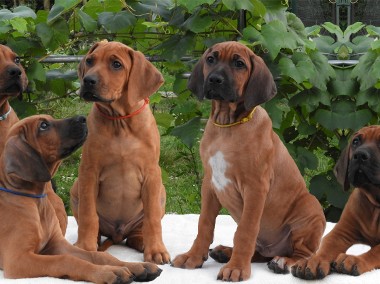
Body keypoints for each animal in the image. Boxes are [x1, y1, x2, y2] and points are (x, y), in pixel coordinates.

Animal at [0, 114, 162, 282]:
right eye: (43, 126)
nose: (82, 118)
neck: (35, 200)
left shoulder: (58, 244)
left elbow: (97, 255)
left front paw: (136, 266)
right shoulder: (18, 259)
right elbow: (66, 260)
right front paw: (107, 272)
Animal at [70, 40, 171, 264]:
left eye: (116, 64)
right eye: (90, 61)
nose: (88, 81)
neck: (119, 121)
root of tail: (117, 234)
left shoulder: (152, 174)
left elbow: (153, 219)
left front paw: (156, 250)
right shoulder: (88, 172)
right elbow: (89, 215)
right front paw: (85, 248)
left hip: (160, 193)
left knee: (138, 231)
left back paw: (143, 242)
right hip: (76, 188)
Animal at [171, 41, 326, 282]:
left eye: (239, 64)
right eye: (211, 59)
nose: (214, 79)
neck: (228, 126)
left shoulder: (255, 188)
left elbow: (245, 231)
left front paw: (237, 268)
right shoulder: (210, 184)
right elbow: (204, 224)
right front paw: (193, 257)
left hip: (310, 210)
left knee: (303, 253)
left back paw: (283, 262)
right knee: (258, 252)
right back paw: (225, 252)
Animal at [292, 126, 380, 280]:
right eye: (355, 141)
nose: (359, 155)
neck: (375, 202)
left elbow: (375, 251)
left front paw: (355, 259)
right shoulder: (341, 232)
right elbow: (327, 246)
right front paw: (314, 260)